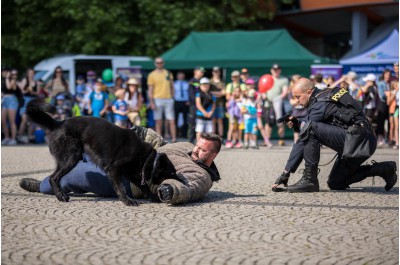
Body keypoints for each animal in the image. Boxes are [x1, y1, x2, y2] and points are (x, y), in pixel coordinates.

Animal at [26, 98, 177, 204]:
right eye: (172, 172)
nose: (181, 179)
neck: (147, 158)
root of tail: (58, 123)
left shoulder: (132, 175)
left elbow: (144, 186)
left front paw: (152, 197)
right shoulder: (114, 170)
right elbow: (121, 188)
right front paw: (127, 201)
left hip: (65, 160)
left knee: (53, 177)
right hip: (72, 157)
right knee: (53, 178)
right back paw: (61, 196)